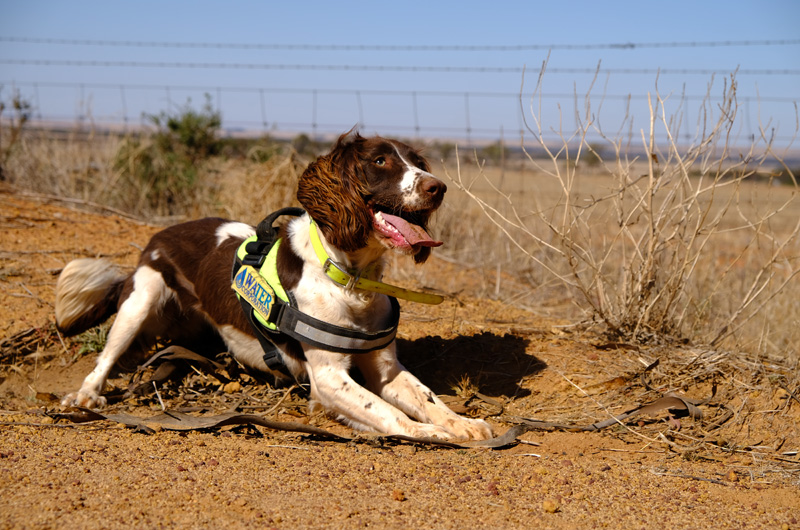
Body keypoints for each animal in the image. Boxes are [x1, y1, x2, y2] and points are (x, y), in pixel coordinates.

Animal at [54, 132, 494, 442]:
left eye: (418, 162)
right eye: (380, 161)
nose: (438, 187)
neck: (348, 279)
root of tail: (159, 234)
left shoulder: (385, 366)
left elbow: (427, 397)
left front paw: (462, 422)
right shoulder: (328, 379)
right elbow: (387, 412)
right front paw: (426, 433)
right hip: (140, 299)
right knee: (104, 359)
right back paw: (87, 396)